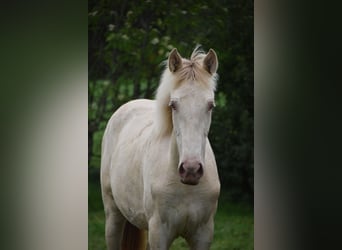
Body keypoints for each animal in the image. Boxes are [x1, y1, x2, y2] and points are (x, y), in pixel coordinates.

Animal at [100, 47, 220, 250]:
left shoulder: (203, 234)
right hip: (113, 216)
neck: (186, 188)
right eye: (173, 105)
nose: (191, 170)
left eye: (210, 105)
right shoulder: (159, 233)